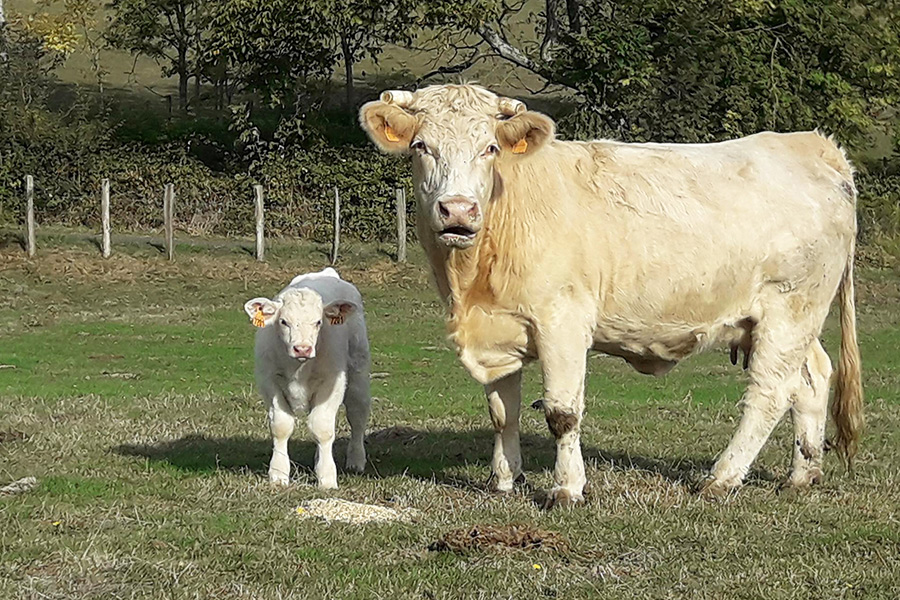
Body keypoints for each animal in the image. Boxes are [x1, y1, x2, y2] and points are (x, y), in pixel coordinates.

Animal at [244, 268, 371, 489]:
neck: (299, 368)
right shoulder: (269, 381)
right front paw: (278, 474)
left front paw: (327, 477)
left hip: (358, 369)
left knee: (357, 415)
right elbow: (281, 426)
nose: (302, 348)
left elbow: (322, 427)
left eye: (318, 322)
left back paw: (356, 460)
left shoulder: (332, 383)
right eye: (283, 321)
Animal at [359, 84, 863, 508]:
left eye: (491, 148)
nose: (458, 210)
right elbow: (503, 412)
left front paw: (567, 488)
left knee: (769, 393)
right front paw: (504, 480)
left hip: (790, 310)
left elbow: (562, 412)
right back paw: (802, 475)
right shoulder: (501, 327)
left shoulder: (561, 321)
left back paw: (721, 478)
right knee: (812, 378)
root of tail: (813, 145)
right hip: (791, 319)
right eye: (422, 146)